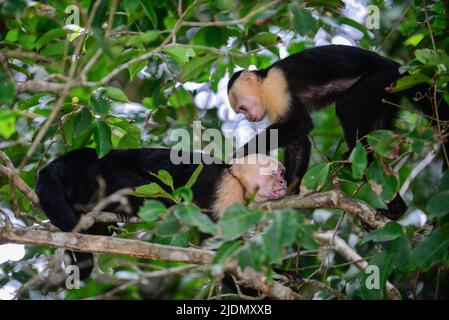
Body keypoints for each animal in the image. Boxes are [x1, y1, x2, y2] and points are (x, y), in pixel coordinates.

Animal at [36, 149, 288, 278]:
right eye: (277, 173)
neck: (233, 174)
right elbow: (216, 242)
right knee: (134, 183)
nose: (285, 182)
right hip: (101, 174)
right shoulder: (225, 186)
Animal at [228, 44, 448, 220]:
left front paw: (239, 154)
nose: (248, 118)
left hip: (385, 80)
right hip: (388, 96)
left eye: (242, 108)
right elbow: (299, 141)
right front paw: (290, 190)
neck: (264, 84)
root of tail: (401, 68)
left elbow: (301, 124)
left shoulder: (276, 88)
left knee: (346, 106)